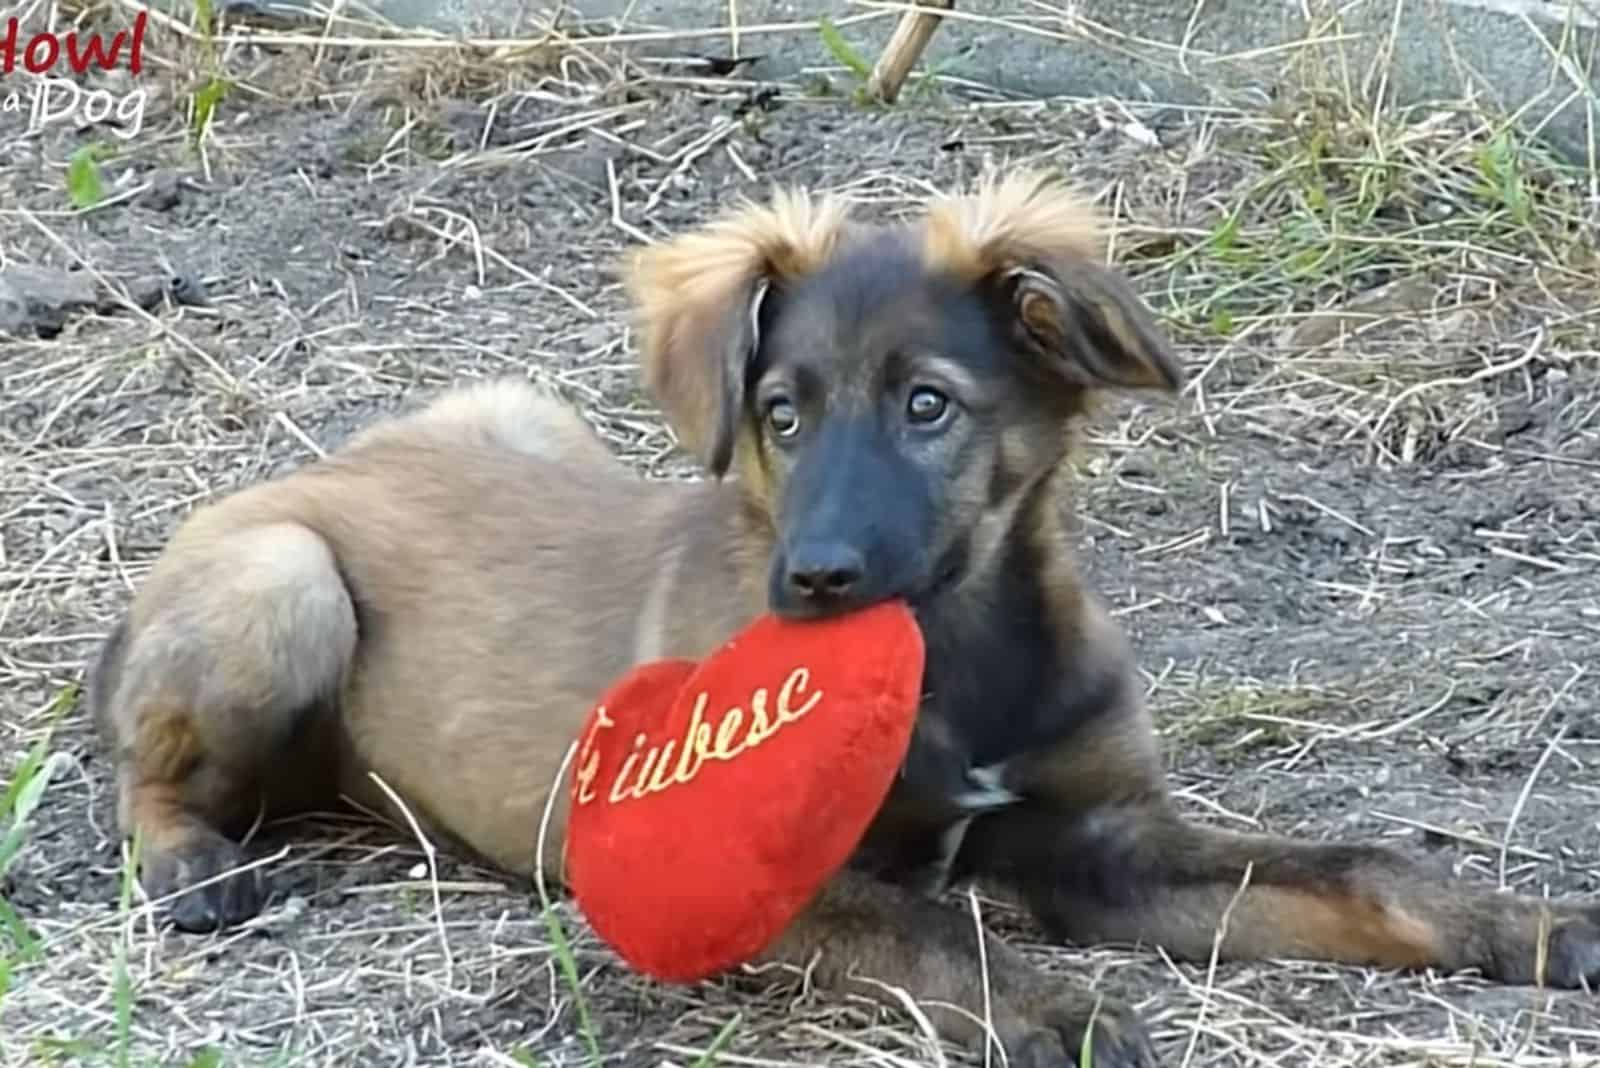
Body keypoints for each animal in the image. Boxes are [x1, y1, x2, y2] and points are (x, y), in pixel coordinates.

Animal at [90, 171, 1600, 1061]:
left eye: (928, 404)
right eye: (780, 413)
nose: (810, 580)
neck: (954, 663)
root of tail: (301, 474)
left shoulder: (1106, 845)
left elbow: (1358, 867)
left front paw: (1524, 924)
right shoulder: (741, 874)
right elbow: (935, 933)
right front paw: (1054, 1010)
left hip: (520, 420)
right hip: (283, 582)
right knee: (140, 771)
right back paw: (195, 866)